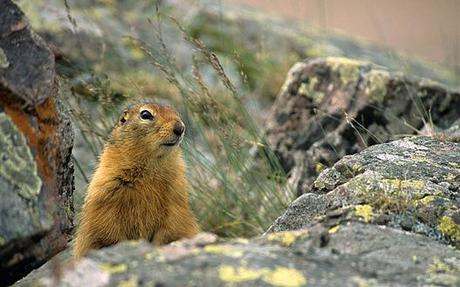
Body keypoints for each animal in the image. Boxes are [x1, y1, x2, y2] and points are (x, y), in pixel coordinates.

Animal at [73, 102, 199, 258]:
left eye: (176, 113)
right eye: (145, 114)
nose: (180, 128)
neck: (148, 171)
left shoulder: (176, 194)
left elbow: (174, 224)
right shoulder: (106, 192)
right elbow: (106, 228)